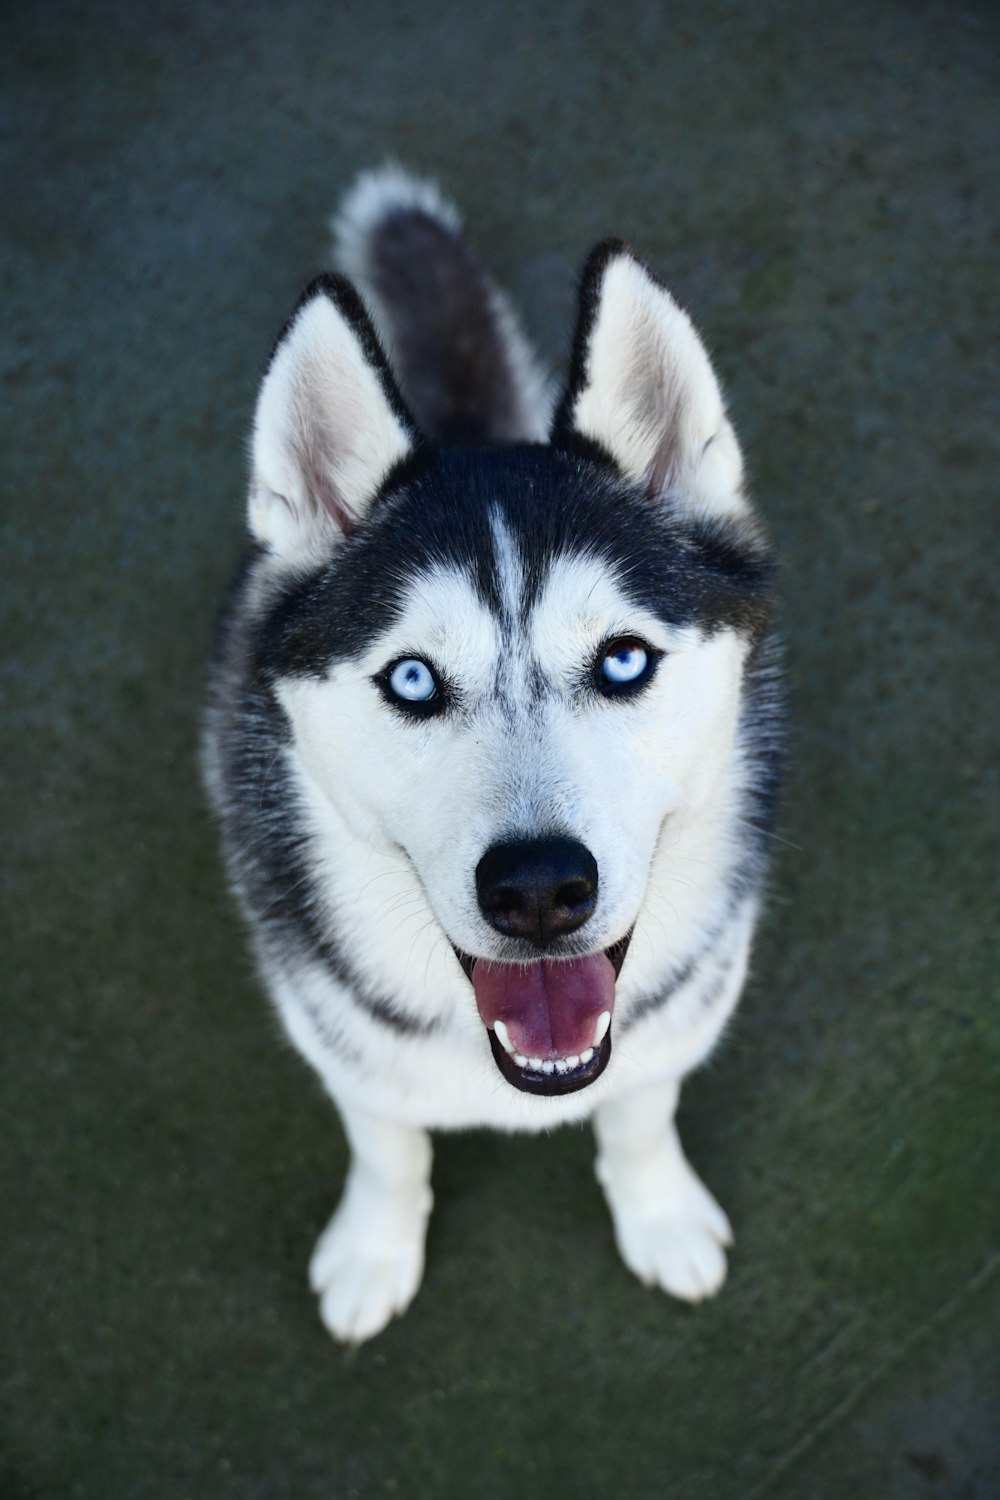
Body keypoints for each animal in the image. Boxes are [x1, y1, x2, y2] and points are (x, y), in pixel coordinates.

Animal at [203, 170, 779, 1344]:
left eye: (622, 659)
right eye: (413, 680)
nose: (540, 889)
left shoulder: (675, 1023)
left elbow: (639, 1117)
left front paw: (657, 1213)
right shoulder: (343, 1043)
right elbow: (387, 1144)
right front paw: (375, 1248)